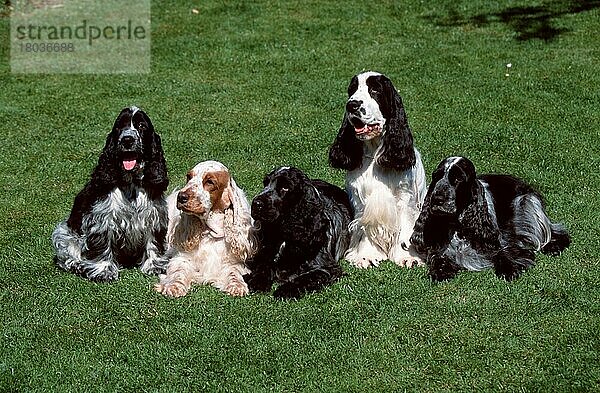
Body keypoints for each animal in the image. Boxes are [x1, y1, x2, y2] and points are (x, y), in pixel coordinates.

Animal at [52, 105, 169, 280]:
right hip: (64, 232)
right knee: (66, 255)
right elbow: (102, 245)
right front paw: (104, 271)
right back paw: (77, 265)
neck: (131, 182)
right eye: (119, 127)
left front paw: (154, 265)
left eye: (141, 126)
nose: (127, 139)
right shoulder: (101, 219)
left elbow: (153, 242)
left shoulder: (154, 216)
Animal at [244, 165, 354, 298]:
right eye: (265, 183)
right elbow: (263, 264)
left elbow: (307, 277)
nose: (256, 203)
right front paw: (257, 281)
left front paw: (284, 290)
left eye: (285, 187)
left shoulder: (327, 268)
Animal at [328, 70, 426, 268]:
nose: (352, 105)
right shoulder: (360, 199)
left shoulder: (405, 197)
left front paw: (408, 257)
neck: (374, 153)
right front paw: (366, 256)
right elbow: (365, 225)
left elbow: (405, 227)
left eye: (375, 90)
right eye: (351, 90)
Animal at [410, 156, 568, 282]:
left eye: (458, 179)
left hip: (529, 205)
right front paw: (440, 271)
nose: (437, 199)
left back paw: (553, 246)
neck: (458, 226)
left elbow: (504, 253)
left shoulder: (502, 241)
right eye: (436, 177)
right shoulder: (438, 250)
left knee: (554, 232)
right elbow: (438, 259)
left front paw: (509, 270)